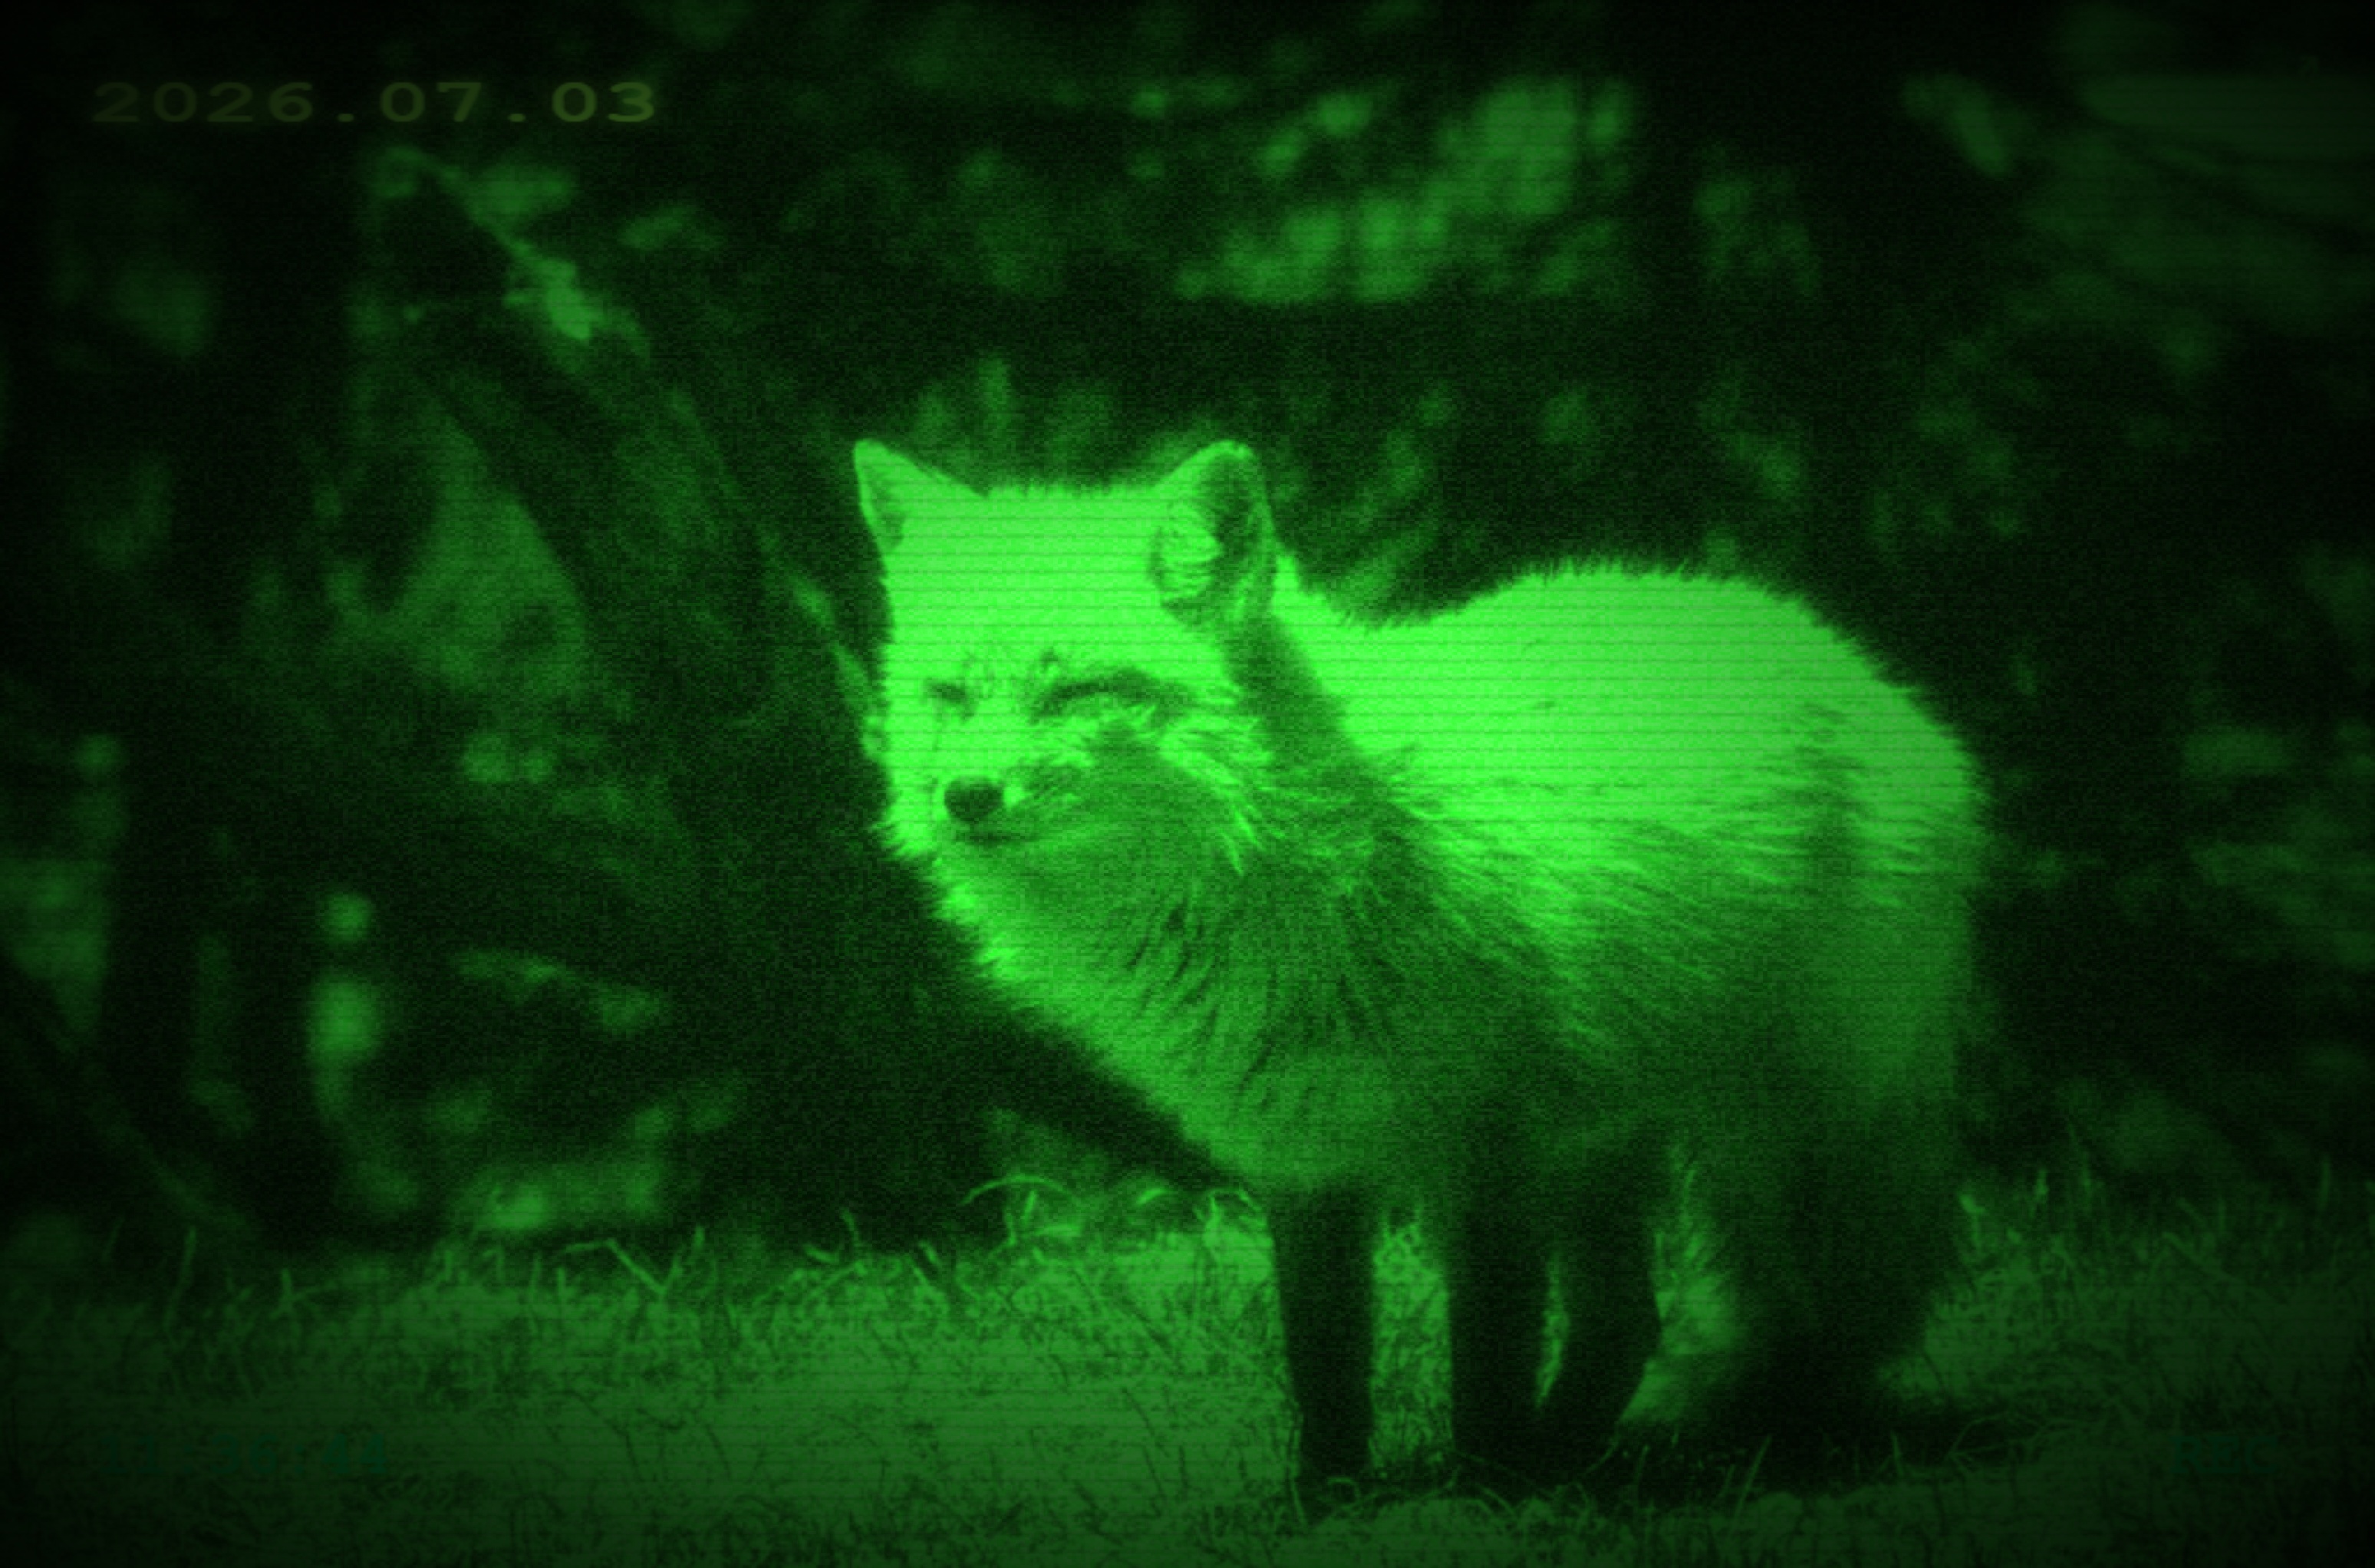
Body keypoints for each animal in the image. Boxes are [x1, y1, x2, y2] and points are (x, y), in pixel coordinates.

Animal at [855, 437, 1981, 1494]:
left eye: (1076, 691)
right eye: (949, 695)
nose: (967, 797)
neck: (1295, 865)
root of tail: (1841, 660)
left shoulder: (1488, 1149)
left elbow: (1485, 1360)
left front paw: (1480, 1494)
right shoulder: (1303, 1155)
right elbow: (1324, 1359)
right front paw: (1332, 1501)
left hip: (1775, 1140)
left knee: (1805, 1314)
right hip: (1610, 1147)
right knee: (1628, 1325)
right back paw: (1576, 1458)